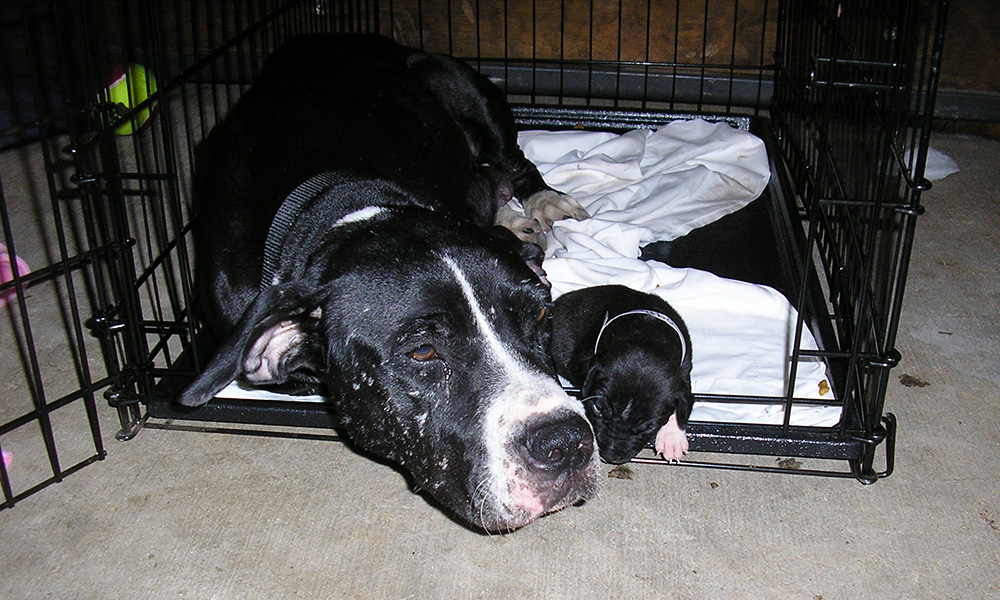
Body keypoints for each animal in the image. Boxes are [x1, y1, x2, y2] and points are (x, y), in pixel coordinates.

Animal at [178, 34, 600, 528]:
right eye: (422, 351)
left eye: (538, 314)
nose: (565, 443)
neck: (336, 209)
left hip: (457, 81)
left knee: (513, 162)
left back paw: (540, 202)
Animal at [548, 286, 696, 464]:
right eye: (597, 409)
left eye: (647, 427)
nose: (609, 457)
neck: (646, 337)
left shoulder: (684, 370)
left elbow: (682, 404)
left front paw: (672, 438)